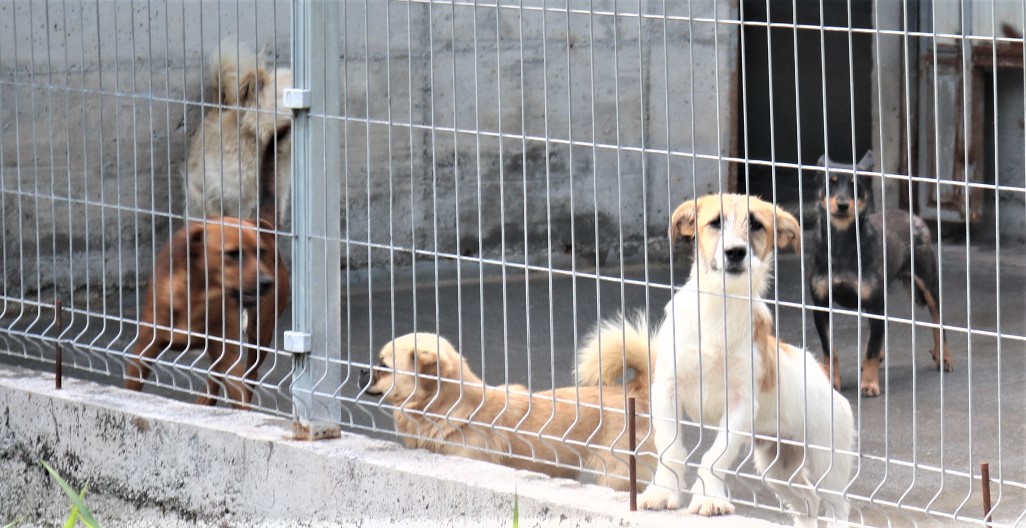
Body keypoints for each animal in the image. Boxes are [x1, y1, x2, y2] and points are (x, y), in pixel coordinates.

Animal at [127, 217, 291, 408]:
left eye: (260, 252)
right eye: (234, 254)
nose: (267, 282)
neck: (198, 296)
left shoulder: (228, 353)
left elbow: (238, 390)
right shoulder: (145, 348)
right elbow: (132, 385)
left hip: (260, 334)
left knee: (249, 374)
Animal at [632, 194, 857, 528]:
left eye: (756, 225)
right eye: (715, 222)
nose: (735, 252)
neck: (719, 310)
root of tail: (825, 382)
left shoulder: (740, 405)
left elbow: (714, 457)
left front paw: (709, 499)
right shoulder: (666, 391)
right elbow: (670, 449)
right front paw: (663, 492)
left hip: (827, 463)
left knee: (837, 506)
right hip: (778, 468)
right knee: (807, 502)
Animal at [808, 151, 952, 397]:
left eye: (856, 186)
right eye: (829, 184)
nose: (843, 205)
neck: (842, 243)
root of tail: (914, 217)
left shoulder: (875, 303)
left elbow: (871, 350)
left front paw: (869, 384)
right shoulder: (821, 305)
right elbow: (830, 350)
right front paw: (832, 381)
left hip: (928, 282)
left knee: (938, 320)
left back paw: (943, 356)